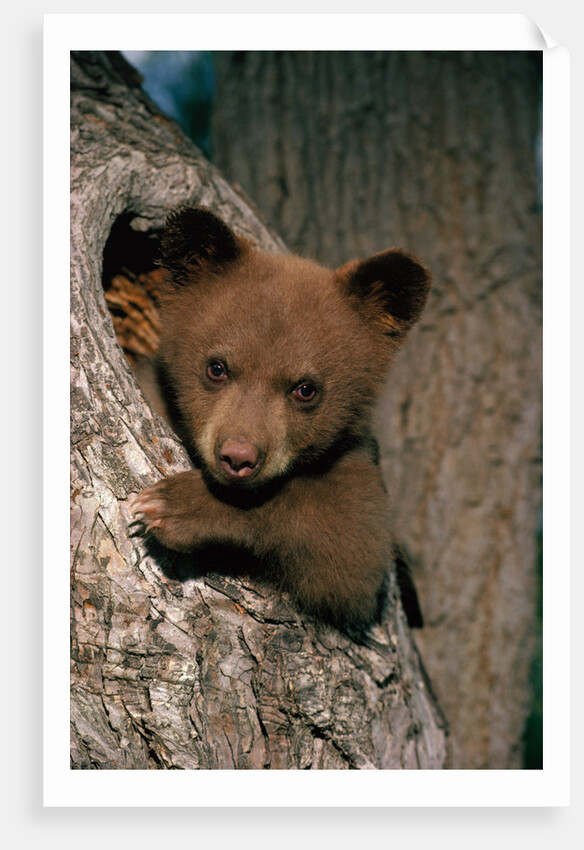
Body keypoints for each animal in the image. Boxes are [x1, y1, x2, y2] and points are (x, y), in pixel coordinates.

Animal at [131, 205, 431, 629]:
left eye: (306, 388)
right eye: (216, 367)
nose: (238, 456)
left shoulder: (356, 463)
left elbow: (351, 551)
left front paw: (174, 506)